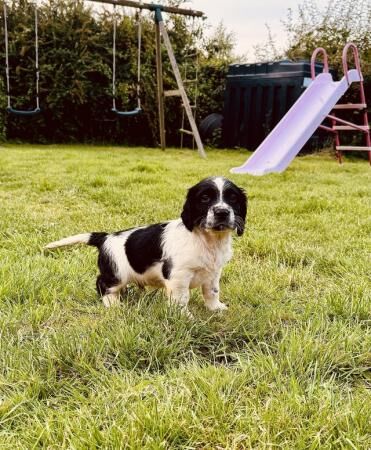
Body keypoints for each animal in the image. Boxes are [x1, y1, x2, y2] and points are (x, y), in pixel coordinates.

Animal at [45, 176, 247, 312]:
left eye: (233, 198)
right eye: (205, 198)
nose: (222, 212)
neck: (208, 239)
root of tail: (105, 237)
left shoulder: (213, 273)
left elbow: (212, 292)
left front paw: (216, 309)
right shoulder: (178, 276)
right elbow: (182, 299)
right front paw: (185, 318)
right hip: (116, 273)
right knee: (102, 284)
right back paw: (113, 304)